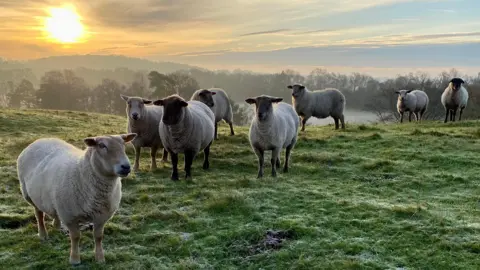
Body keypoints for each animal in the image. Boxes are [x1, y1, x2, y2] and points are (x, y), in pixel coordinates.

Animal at [16, 133, 136, 264]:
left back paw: (56, 225)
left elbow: (98, 237)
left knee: (54, 212)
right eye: (101, 145)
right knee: (39, 215)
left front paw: (100, 258)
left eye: (123, 144)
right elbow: (75, 237)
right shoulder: (70, 216)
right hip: (30, 195)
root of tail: (40, 140)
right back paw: (43, 235)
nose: (126, 166)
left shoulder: (101, 216)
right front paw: (74, 259)